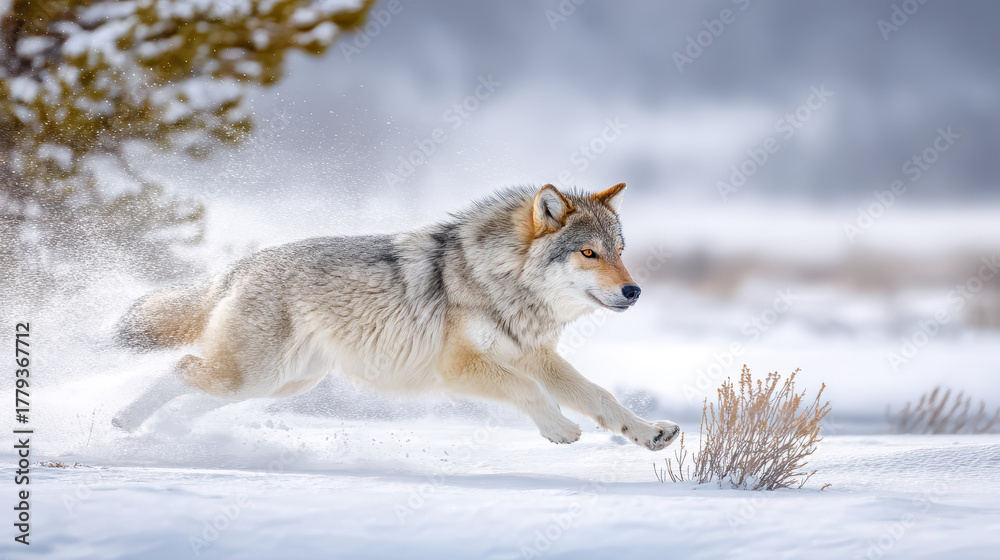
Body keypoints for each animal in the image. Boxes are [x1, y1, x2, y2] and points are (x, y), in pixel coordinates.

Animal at [113, 183, 680, 450]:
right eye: (588, 253)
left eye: (620, 250)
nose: (633, 290)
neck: (498, 281)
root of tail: (238, 266)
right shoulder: (460, 369)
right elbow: (530, 394)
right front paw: (559, 429)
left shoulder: (536, 356)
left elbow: (601, 397)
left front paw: (649, 434)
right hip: (254, 376)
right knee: (180, 368)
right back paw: (123, 421)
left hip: (280, 383)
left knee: (195, 392)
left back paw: (167, 432)